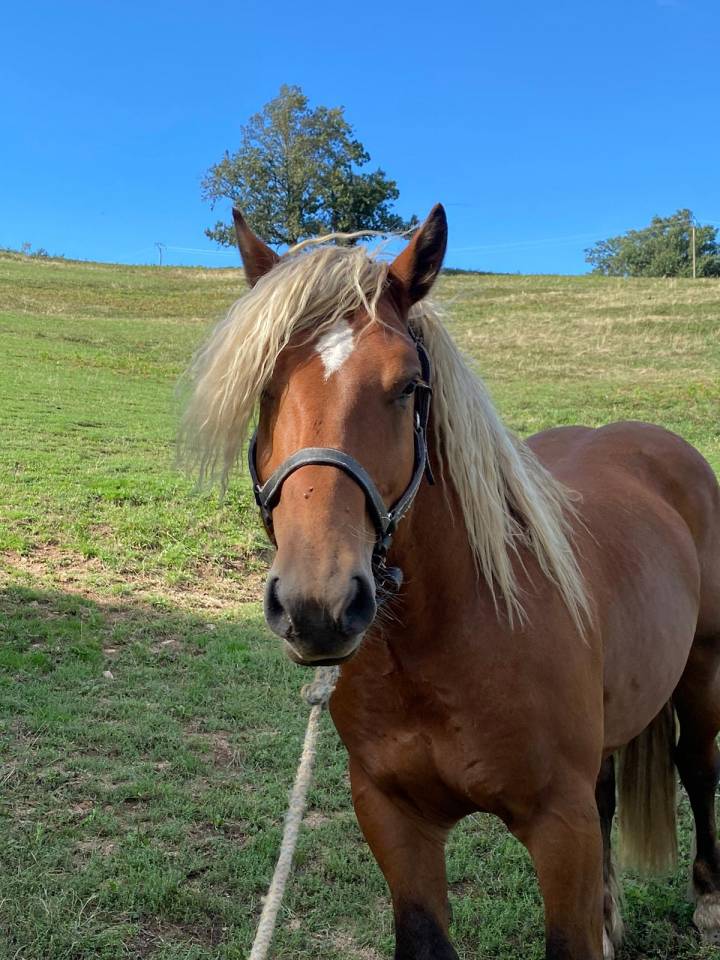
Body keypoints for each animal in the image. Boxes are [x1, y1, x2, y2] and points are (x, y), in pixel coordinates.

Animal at [182, 204, 720, 960]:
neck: (451, 632)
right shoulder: (394, 818)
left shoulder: (560, 828)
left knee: (697, 766)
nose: (317, 605)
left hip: (703, 671)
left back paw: (709, 900)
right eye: (264, 387)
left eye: (409, 385)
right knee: (610, 789)